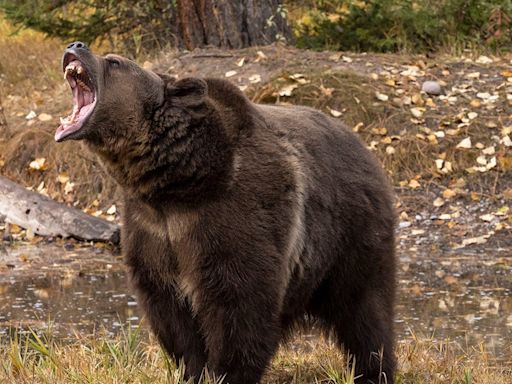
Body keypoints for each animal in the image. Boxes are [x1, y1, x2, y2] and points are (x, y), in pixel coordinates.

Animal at [57, 42, 400, 384]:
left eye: (114, 62)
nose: (76, 45)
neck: (177, 184)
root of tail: (362, 145)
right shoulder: (152, 230)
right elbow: (171, 313)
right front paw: (193, 369)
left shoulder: (233, 216)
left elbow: (238, 305)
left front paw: (226, 372)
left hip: (351, 233)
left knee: (364, 311)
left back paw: (373, 370)